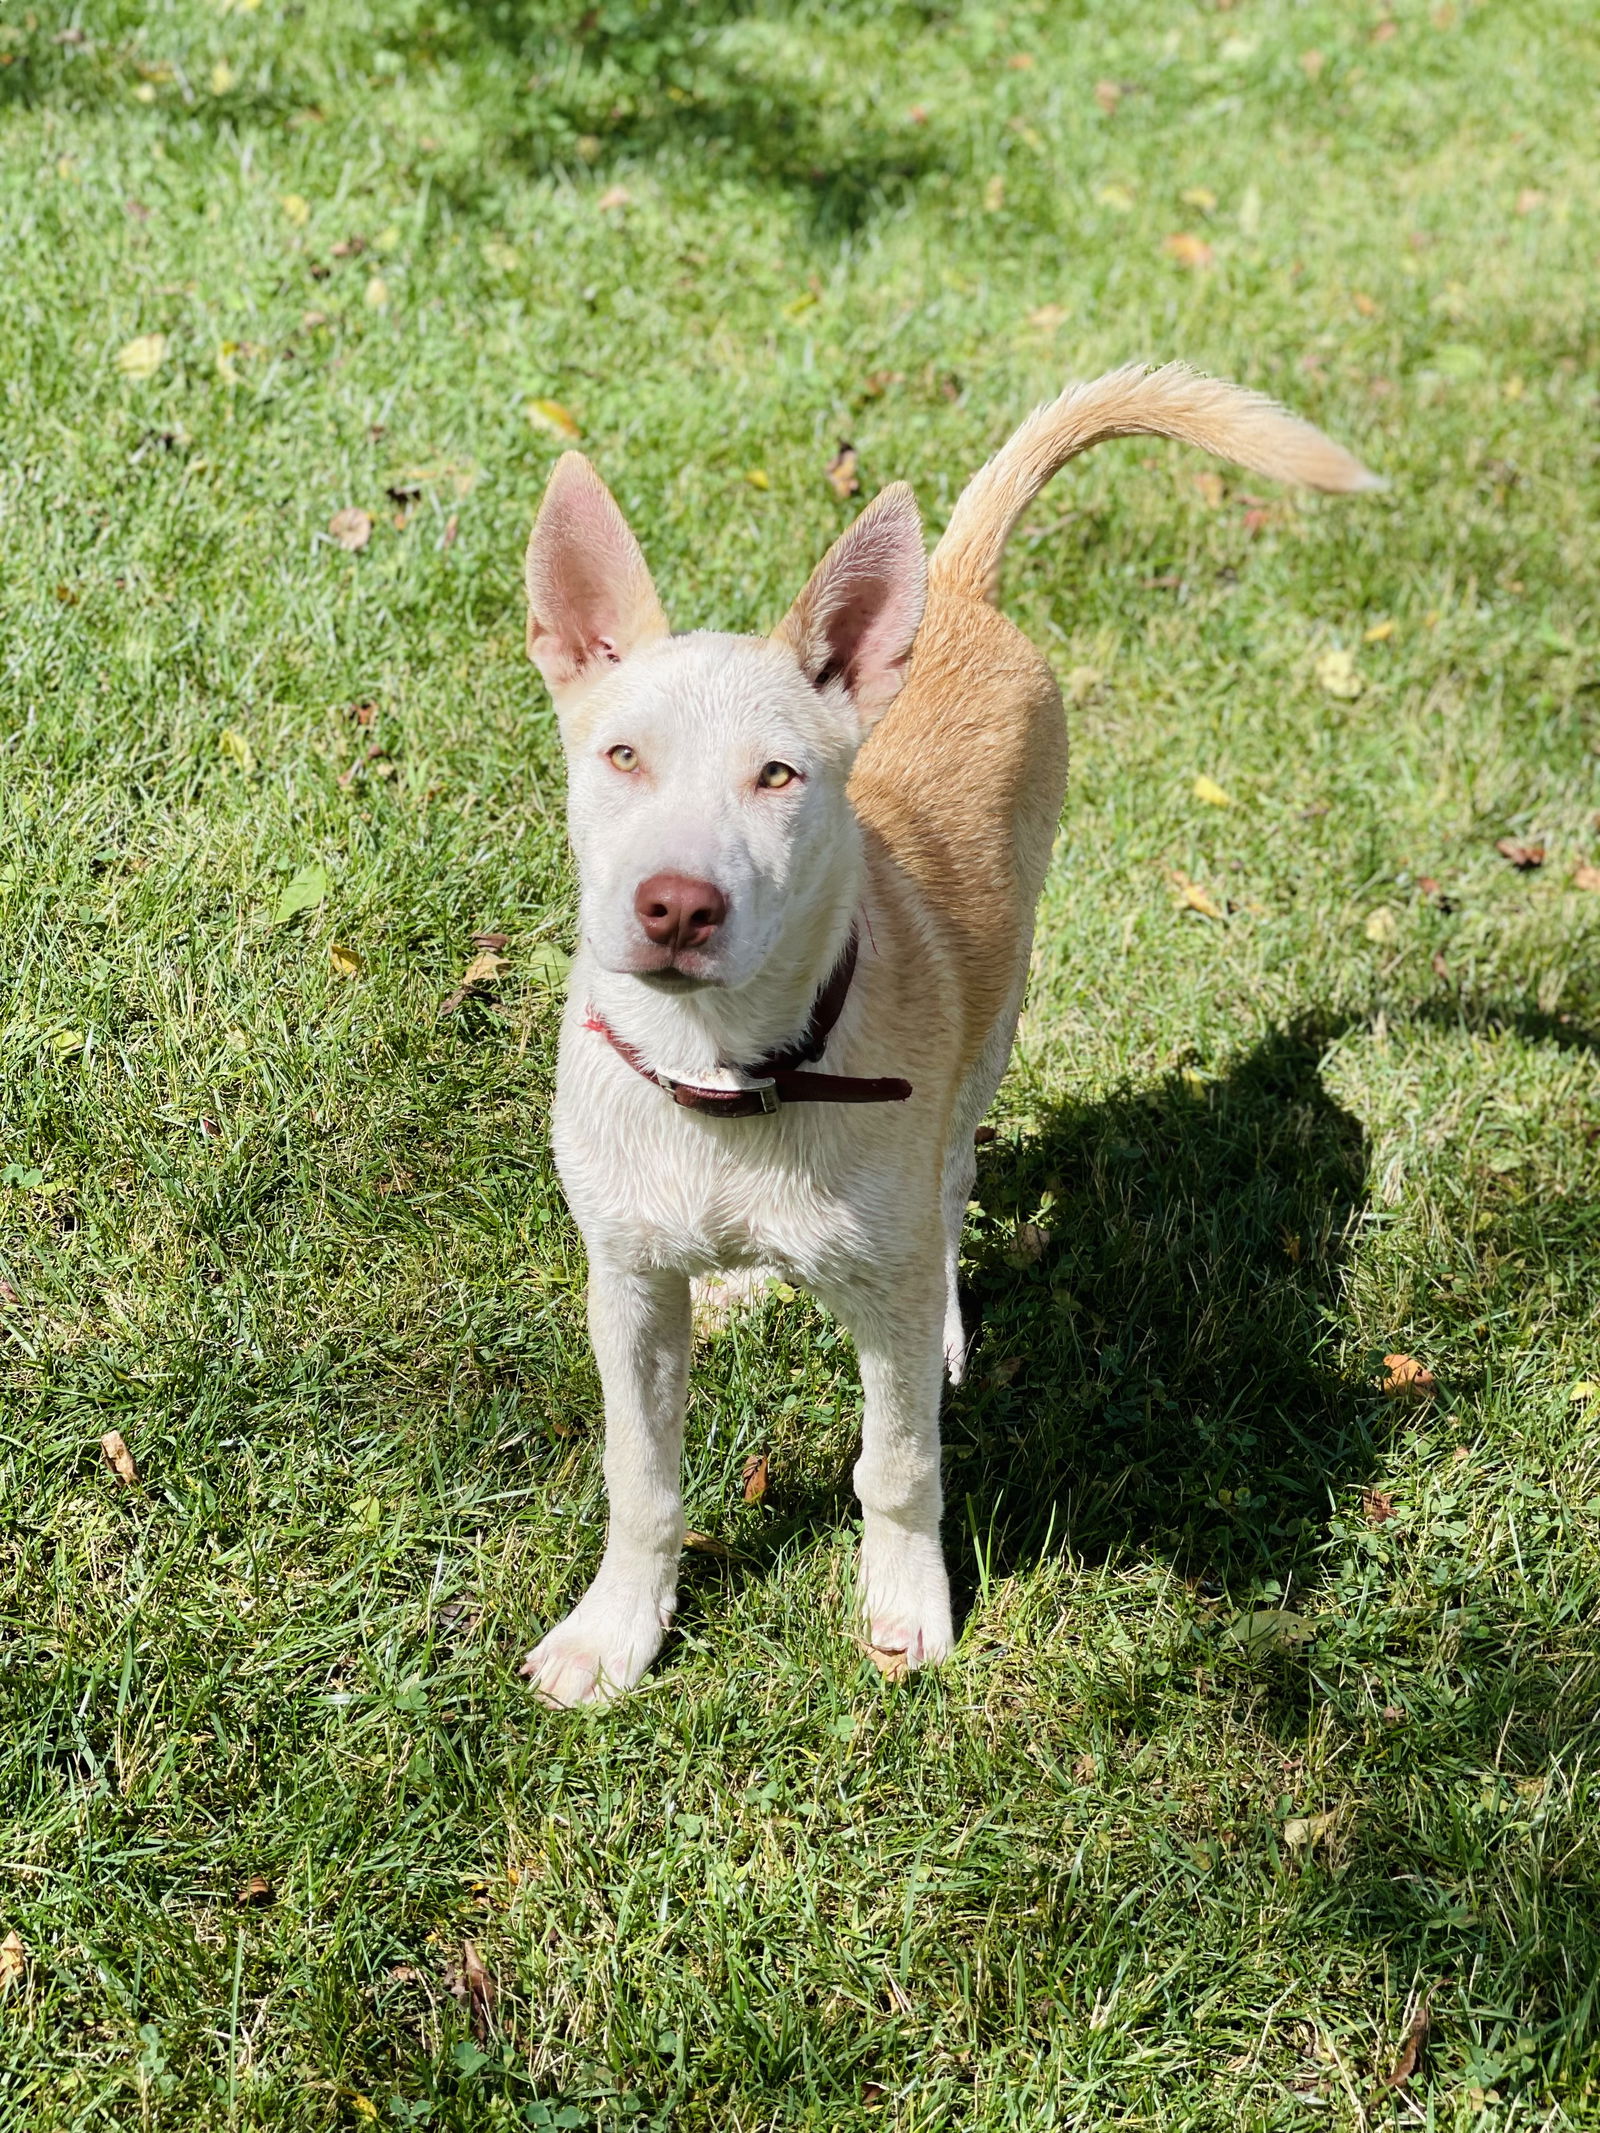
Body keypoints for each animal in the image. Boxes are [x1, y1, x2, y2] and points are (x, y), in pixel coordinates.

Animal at [516, 358, 1382, 1706]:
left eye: (779, 778)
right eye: (620, 756)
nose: (676, 907)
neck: (729, 1074)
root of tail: (956, 591)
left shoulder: (885, 1280)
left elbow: (899, 1463)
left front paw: (902, 1601)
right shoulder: (628, 1284)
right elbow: (640, 1475)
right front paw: (618, 1630)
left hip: (997, 1021)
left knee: (952, 1187)